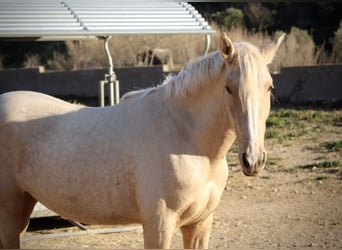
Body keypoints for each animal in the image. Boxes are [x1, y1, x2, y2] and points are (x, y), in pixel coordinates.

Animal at [0, 32, 284, 248]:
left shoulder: (200, 224)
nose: (253, 160)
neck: (187, 139)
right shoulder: (159, 225)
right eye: (228, 88)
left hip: (24, 202)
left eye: (269, 87)